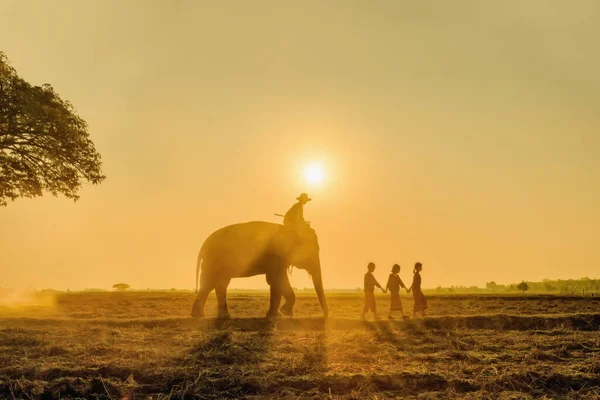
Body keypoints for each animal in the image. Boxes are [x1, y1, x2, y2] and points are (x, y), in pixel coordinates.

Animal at [190, 222, 328, 318]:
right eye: (311, 252)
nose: (326, 316)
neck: (289, 229)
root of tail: (204, 245)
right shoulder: (275, 256)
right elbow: (276, 279)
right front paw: (283, 313)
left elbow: (275, 281)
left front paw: (279, 314)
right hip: (214, 261)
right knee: (210, 283)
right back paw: (199, 316)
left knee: (219, 284)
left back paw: (220, 316)